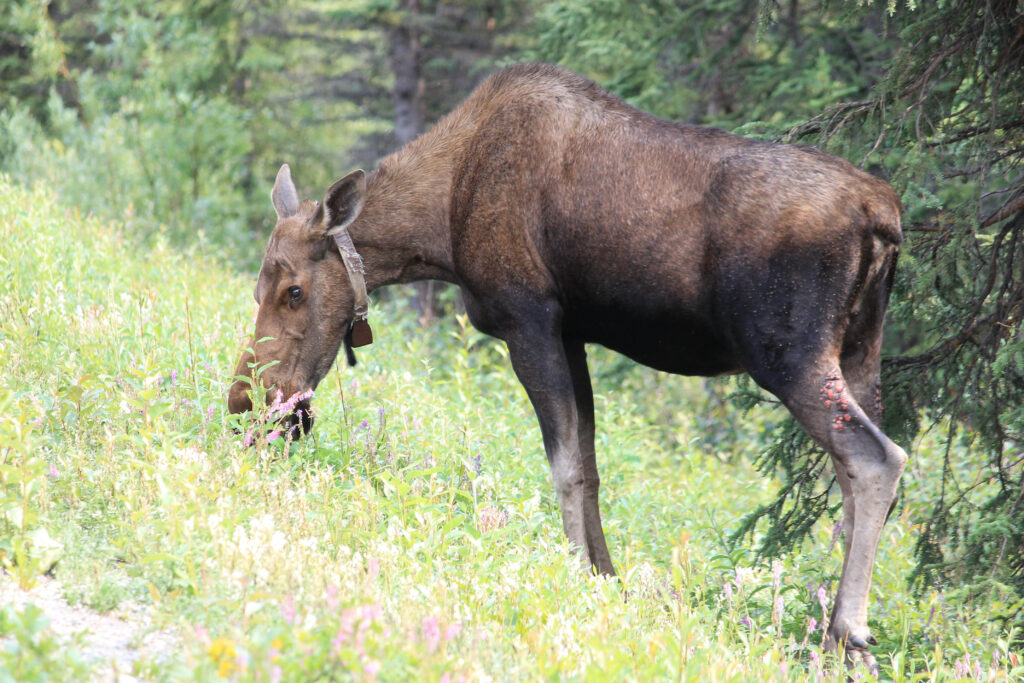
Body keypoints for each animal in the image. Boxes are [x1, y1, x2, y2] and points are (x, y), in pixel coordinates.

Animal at [228, 63, 905, 669]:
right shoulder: (574, 334)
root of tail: (885, 218)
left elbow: (565, 467)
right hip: (860, 351)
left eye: (292, 291)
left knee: (880, 458)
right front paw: (608, 581)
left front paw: (576, 579)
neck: (439, 225)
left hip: (787, 352)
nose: (246, 401)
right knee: (853, 471)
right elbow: (592, 466)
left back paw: (846, 632)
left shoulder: (528, 320)